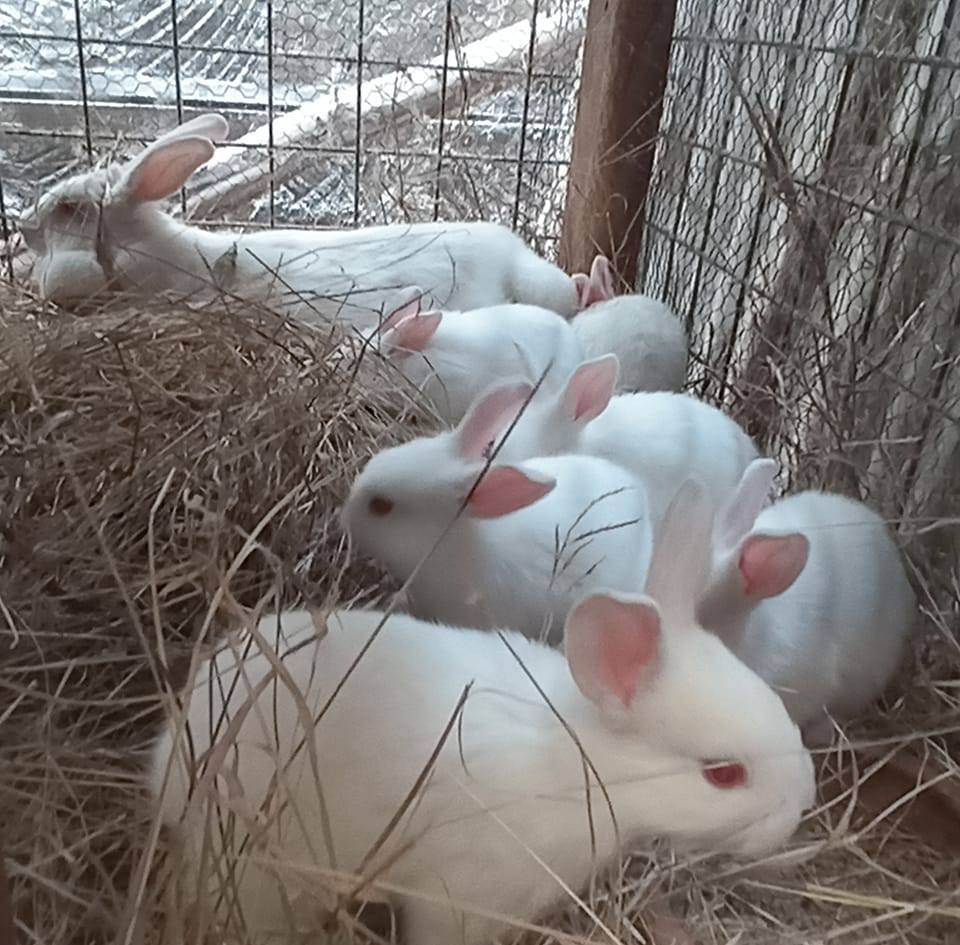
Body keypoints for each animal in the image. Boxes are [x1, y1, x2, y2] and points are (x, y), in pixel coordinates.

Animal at [149, 482, 814, 945]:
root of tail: (170, 760)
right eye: (723, 774)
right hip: (260, 871)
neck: (576, 763)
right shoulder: (462, 895)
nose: (798, 811)